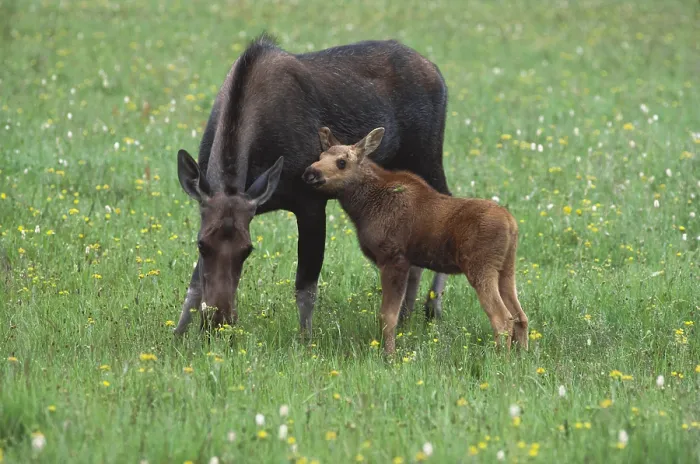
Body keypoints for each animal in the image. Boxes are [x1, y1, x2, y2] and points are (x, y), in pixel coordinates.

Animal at [302, 127, 529, 354]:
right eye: (320, 156)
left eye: (341, 162)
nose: (310, 173)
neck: (362, 208)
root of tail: (512, 225)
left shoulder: (394, 258)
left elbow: (388, 316)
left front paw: (389, 355)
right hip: (506, 268)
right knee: (520, 316)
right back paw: (521, 355)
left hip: (481, 267)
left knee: (503, 319)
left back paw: (500, 357)